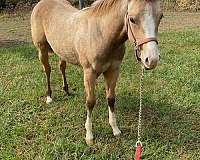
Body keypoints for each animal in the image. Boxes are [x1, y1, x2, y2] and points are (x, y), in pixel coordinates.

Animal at [30, 0, 162, 144]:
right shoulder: (89, 73)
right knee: (47, 70)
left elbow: (111, 99)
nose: (152, 59)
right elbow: (90, 102)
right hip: (42, 49)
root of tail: (41, 4)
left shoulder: (113, 70)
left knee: (62, 67)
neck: (101, 34)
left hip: (62, 51)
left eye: (160, 17)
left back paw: (66, 90)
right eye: (132, 19)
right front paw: (89, 135)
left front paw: (115, 129)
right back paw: (49, 96)